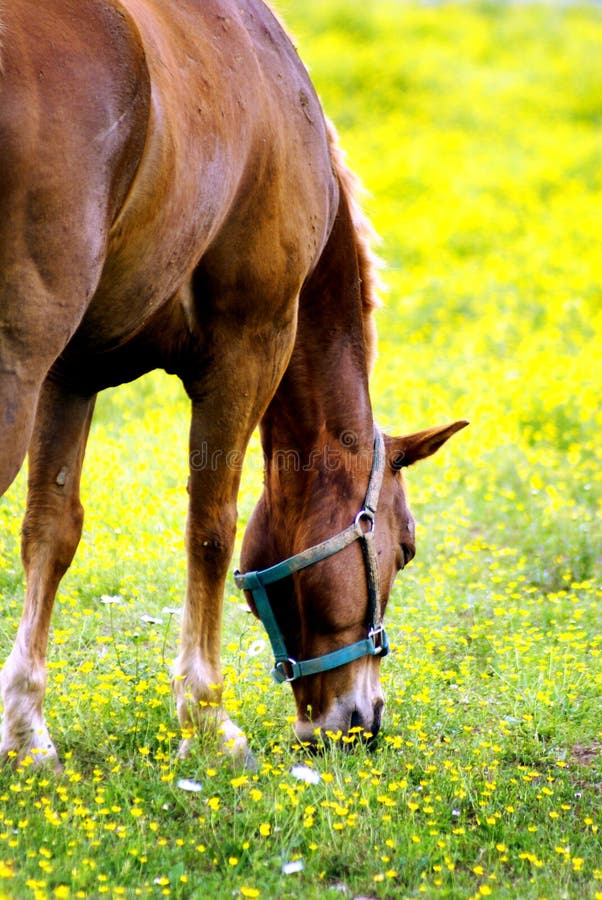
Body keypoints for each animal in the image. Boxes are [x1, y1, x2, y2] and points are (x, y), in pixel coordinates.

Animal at [0, 0, 467, 766]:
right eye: (405, 550)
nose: (364, 723)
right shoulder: (251, 345)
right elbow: (211, 528)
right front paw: (209, 720)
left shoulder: (72, 371)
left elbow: (51, 530)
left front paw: (26, 732)